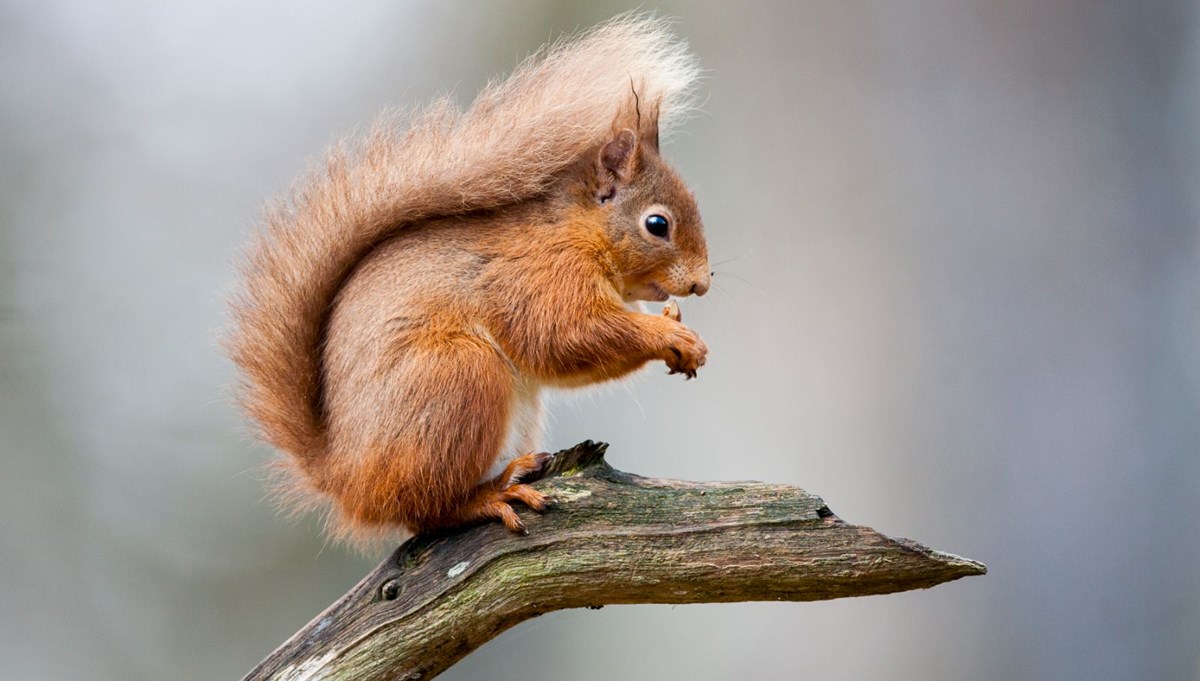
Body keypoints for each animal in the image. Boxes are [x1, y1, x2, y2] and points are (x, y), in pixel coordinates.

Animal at [229, 17, 705, 549]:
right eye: (657, 225)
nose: (703, 283)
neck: (576, 231)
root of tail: (345, 478)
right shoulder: (539, 276)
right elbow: (564, 336)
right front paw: (670, 335)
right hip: (459, 377)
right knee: (428, 510)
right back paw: (492, 495)